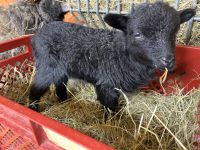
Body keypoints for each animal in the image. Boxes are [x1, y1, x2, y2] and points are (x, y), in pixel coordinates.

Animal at [29, 2, 195, 111]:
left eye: (175, 32)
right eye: (137, 34)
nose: (168, 60)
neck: (122, 53)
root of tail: (47, 25)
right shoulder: (106, 84)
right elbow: (109, 108)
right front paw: (110, 122)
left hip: (60, 69)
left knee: (60, 84)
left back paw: (63, 101)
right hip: (47, 66)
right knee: (35, 89)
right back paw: (34, 109)